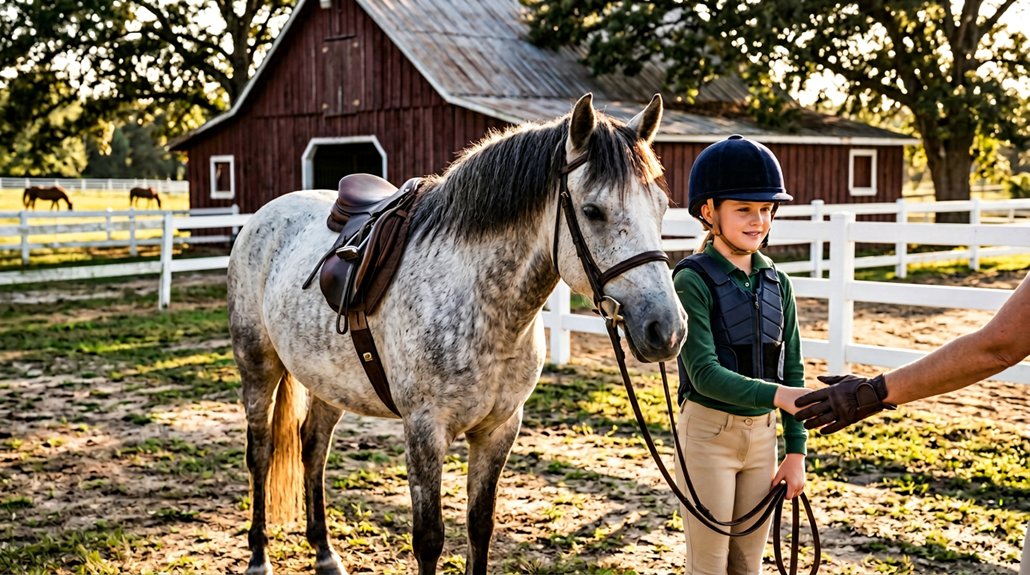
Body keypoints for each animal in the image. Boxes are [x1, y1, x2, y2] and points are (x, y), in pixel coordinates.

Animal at [227, 93, 687, 575]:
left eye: (660, 207)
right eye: (593, 210)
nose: (667, 329)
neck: (482, 305)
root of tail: (265, 216)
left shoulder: (499, 428)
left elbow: (480, 525)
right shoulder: (425, 431)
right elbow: (429, 539)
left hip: (328, 383)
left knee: (313, 448)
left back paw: (324, 553)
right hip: (257, 367)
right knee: (260, 453)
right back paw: (258, 555)